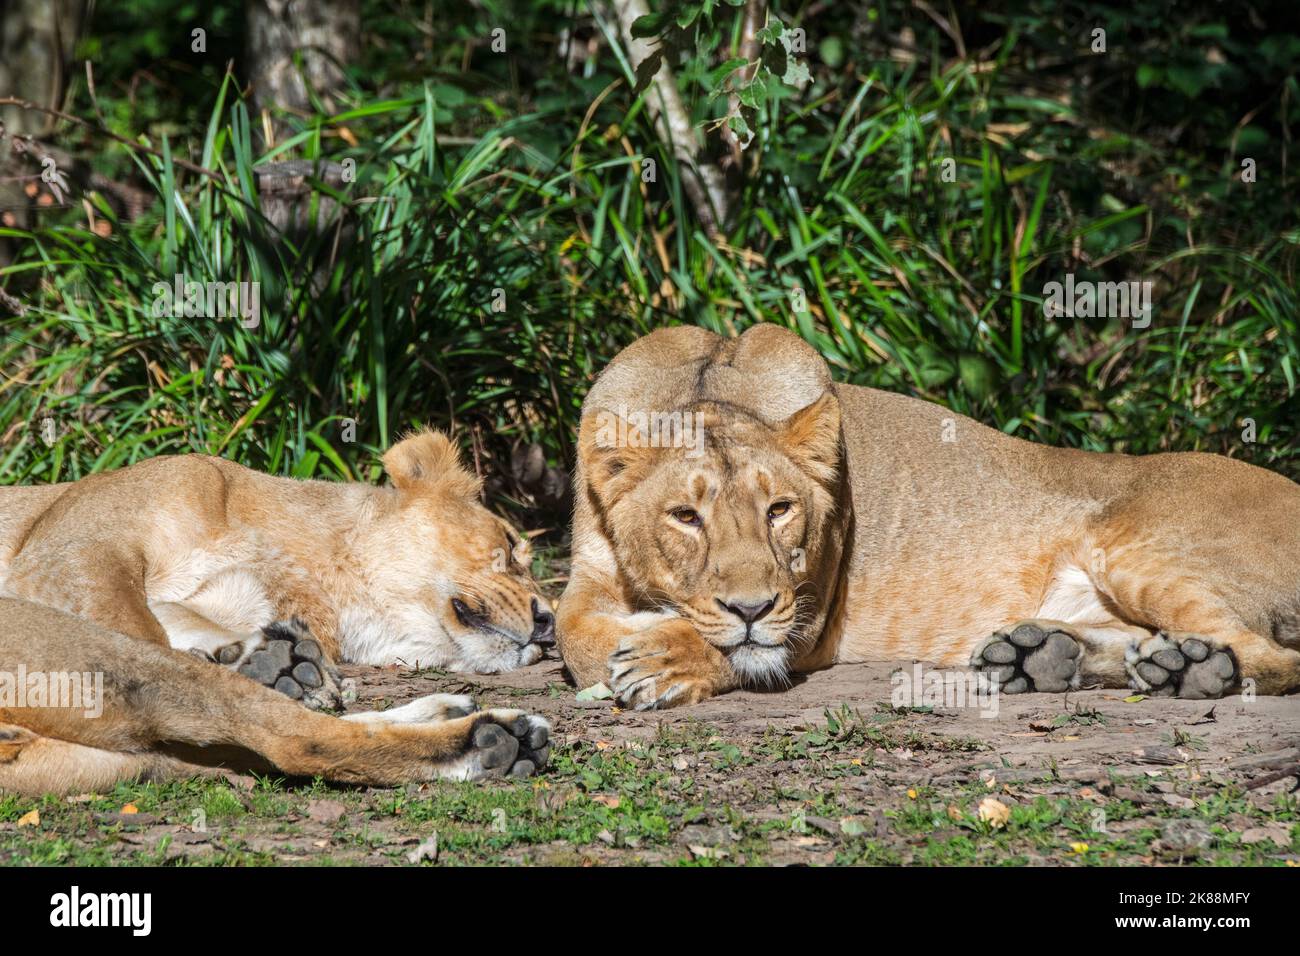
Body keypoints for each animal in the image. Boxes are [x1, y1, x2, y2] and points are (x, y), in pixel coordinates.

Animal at [0, 429, 557, 710]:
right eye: (511, 545)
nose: (549, 623)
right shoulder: (69, 551)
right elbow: (135, 631)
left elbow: (184, 628)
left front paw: (286, 670)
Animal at [556, 324, 1300, 708]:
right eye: (685, 516)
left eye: (780, 510)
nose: (749, 606)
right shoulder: (587, 576)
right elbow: (572, 635)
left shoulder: (810, 604)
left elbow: (744, 648)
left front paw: (666, 661)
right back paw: (1044, 655)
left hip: (1138, 545)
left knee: (1274, 656)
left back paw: (1185, 669)